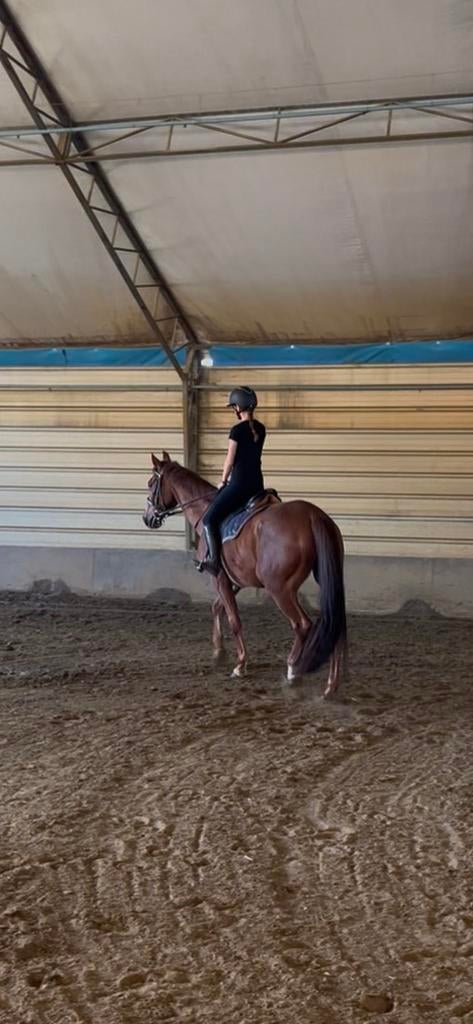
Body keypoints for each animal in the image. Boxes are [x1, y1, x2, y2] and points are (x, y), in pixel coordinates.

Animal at [144, 451, 347, 696]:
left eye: (151, 484)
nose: (147, 518)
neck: (204, 510)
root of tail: (312, 515)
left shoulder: (219, 577)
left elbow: (234, 619)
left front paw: (240, 665)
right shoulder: (235, 580)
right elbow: (217, 607)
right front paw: (219, 652)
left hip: (280, 589)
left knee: (302, 625)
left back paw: (293, 671)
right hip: (325, 580)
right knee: (333, 624)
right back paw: (331, 686)